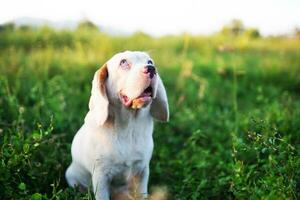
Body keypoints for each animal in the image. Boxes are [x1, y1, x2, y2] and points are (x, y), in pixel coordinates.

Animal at [65, 50, 169, 199]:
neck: (129, 128)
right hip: (71, 175)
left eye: (150, 62)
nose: (151, 69)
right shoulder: (101, 177)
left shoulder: (142, 171)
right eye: (123, 62)